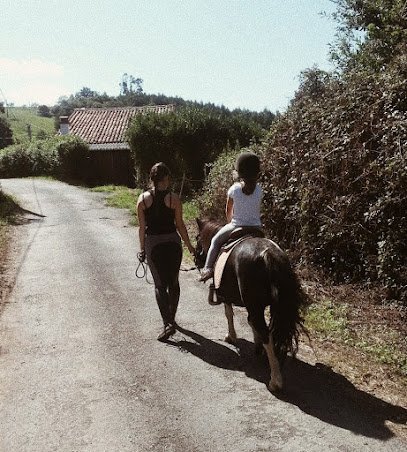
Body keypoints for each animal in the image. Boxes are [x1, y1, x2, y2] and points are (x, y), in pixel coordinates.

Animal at [195, 219, 310, 392]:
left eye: (197, 239)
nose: (196, 261)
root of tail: (268, 255)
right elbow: (249, 321)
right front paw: (257, 345)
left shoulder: (227, 296)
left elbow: (229, 315)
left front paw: (231, 336)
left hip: (255, 304)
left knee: (265, 332)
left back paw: (275, 381)